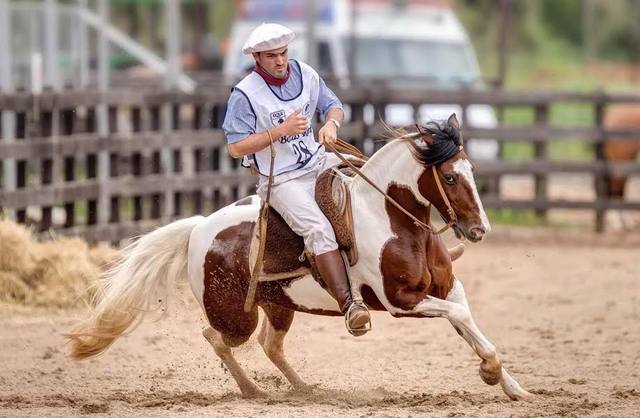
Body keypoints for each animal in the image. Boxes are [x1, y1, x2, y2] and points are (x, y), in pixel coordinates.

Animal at [67, 114, 532, 402]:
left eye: (472, 170)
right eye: (450, 176)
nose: (479, 229)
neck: (394, 221)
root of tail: (198, 228)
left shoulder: (447, 288)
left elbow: (467, 321)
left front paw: (510, 384)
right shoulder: (402, 302)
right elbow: (461, 317)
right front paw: (492, 373)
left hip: (278, 306)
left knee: (269, 346)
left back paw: (304, 388)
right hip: (235, 315)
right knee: (217, 338)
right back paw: (253, 391)